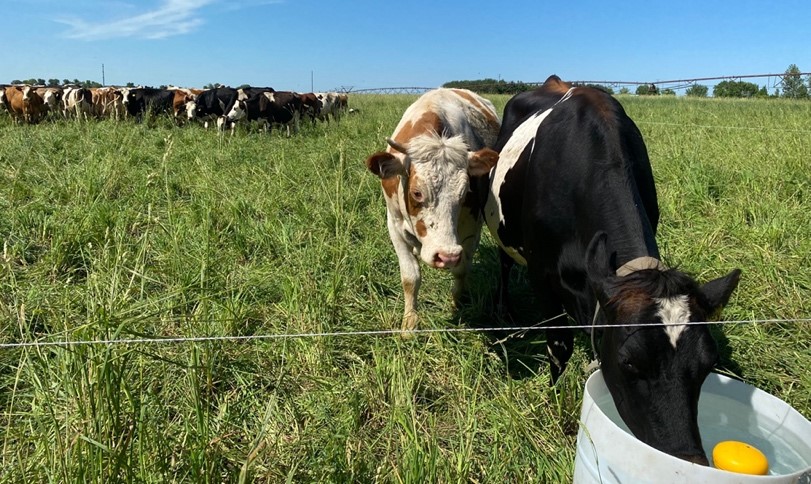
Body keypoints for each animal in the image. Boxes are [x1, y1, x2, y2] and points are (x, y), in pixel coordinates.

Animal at [364, 88, 502, 332]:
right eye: (417, 192)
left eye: (464, 192)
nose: (446, 256)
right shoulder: (394, 226)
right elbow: (410, 278)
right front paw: (409, 323)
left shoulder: (472, 228)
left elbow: (461, 270)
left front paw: (456, 304)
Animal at [482, 75, 744, 466]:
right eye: (629, 362)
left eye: (707, 364)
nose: (686, 457)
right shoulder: (542, 276)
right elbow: (559, 347)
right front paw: (554, 399)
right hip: (503, 228)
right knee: (503, 262)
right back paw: (505, 308)